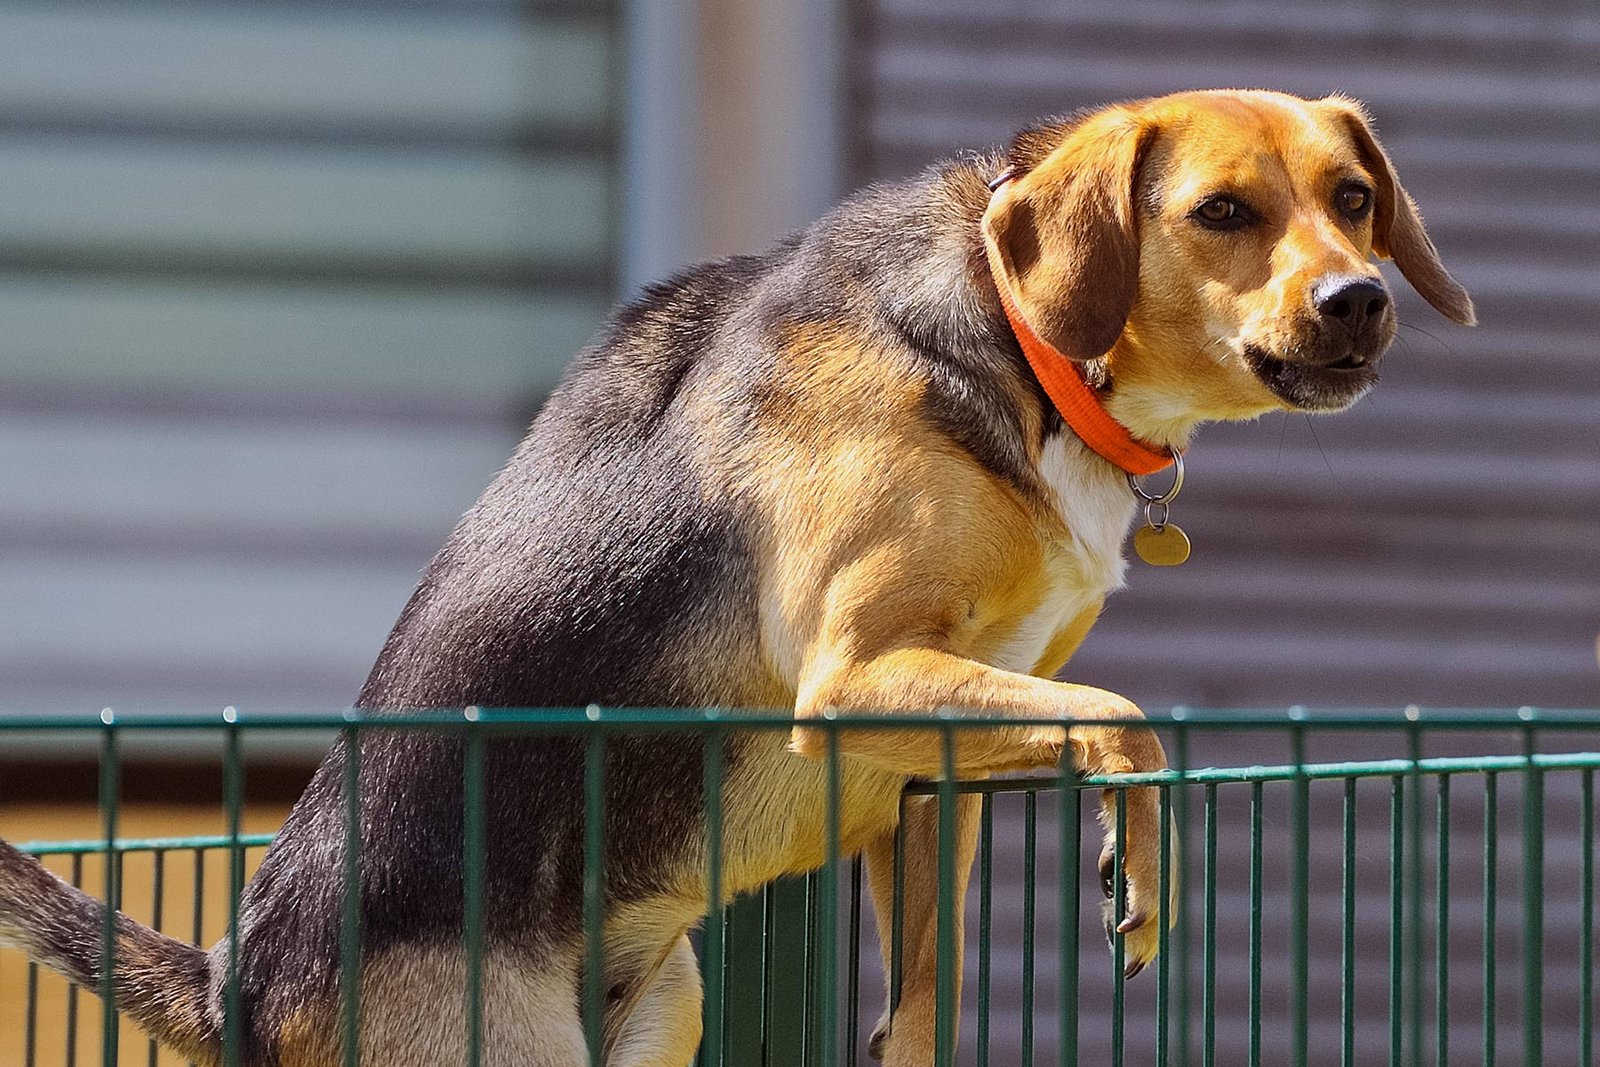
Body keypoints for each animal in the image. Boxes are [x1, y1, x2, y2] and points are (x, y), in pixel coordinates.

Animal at [3, 87, 1472, 1062]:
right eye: (1221, 213)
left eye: (1354, 198)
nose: (1360, 301)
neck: (1020, 342)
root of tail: (240, 979)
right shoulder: (857, 675)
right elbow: (1130, 723)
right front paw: (1141, 874)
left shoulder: (933, 758)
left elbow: (926, 989)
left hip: (669, 1003)